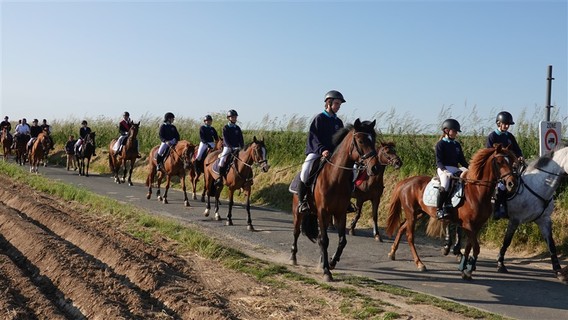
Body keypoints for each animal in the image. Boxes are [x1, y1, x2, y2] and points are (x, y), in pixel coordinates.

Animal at [288, 119, 382, 282]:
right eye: (361, 140)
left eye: (374, 140)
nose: (375, 168)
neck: (335, 178)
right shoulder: (322, 212)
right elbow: (324, 240)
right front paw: (326, 271)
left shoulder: (340, 213)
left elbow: (342, 240)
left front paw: (331, 262)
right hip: (298, 212)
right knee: (296, 232)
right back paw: (293, 257)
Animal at [384, 145, 516, 280]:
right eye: (499, 162)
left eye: (511, 161)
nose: (512, 183)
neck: (477, 191)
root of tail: (407, 181)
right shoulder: (468, 224)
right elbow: (476, 248)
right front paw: (468, 269)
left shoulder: (476, 226)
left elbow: (469, 247)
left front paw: (464, 268)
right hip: (411, 213)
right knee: (410, 236)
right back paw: (419, 264)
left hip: (419, 213)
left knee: (401, 227)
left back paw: (392, 253)